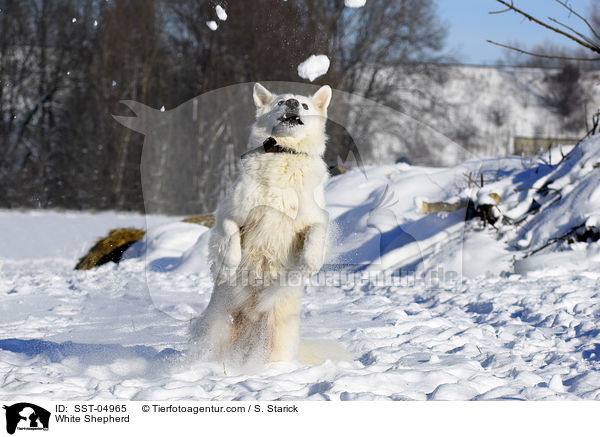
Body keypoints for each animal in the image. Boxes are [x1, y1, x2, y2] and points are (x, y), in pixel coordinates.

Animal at [192, 82, 332, 364]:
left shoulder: (314, 217)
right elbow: (230, 238)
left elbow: (317, 231)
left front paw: (310, 263)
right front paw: (226, 268)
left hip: (279, 335)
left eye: (304, 105)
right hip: (217, 327)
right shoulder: (230, 213)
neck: (284, 154)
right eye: (280, 102)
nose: (292, 103)